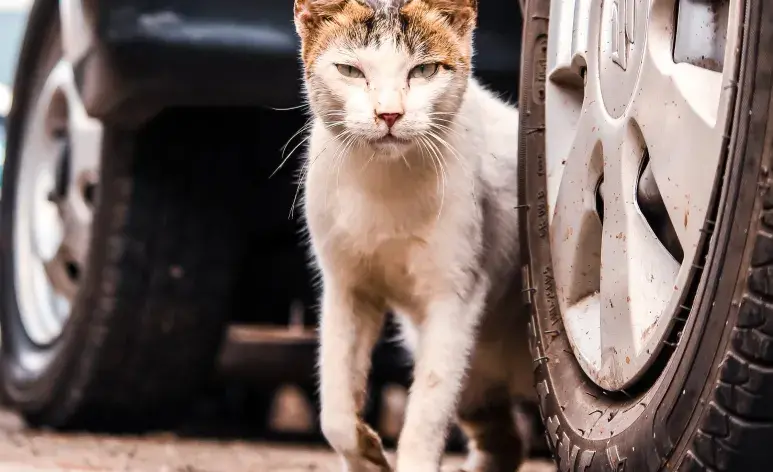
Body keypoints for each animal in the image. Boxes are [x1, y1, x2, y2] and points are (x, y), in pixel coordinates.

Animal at [294, 0, 532, 472]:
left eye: (423, 70)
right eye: (350, 70)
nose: (389, 114)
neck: (384, 185)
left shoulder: (455, 297)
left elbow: (426, 413)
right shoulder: (347, 287)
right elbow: (334, 408)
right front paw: (364, 452)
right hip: (475, 374)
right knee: (506, 441)